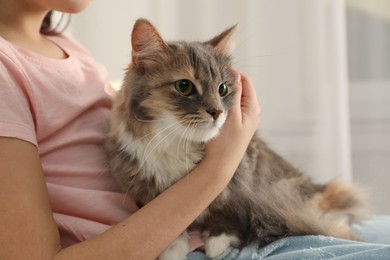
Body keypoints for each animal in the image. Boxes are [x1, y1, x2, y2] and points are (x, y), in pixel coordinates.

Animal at [106, 19, 366, 258]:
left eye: (222, 89)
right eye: (184, 86)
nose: (216, 112)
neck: (178, 142)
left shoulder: (241, 175)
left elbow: (227, 210)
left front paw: (217, 243)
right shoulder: (144, 188)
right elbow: (171, 226)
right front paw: (173, 250)